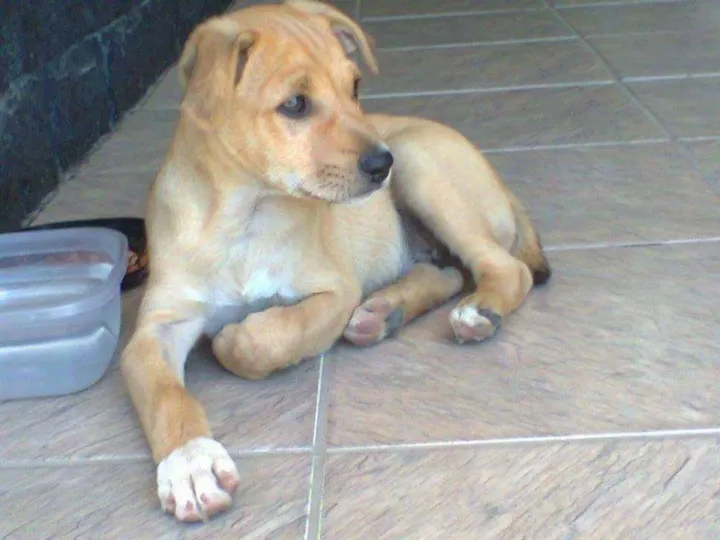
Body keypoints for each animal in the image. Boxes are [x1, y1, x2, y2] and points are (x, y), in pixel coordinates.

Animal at [121, 0, 551, 522]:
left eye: (355, 88)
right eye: (295, 104)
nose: (381, 165)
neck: (244, 216)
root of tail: (502, 185)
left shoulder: (335, 290)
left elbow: (268, 337)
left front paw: (235, 337)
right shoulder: (155, 330)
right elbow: (166, 395)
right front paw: (189, 463)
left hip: (420, 166)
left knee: (505, 268)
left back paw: (478, 310)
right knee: (446, 271)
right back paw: (384, 313)